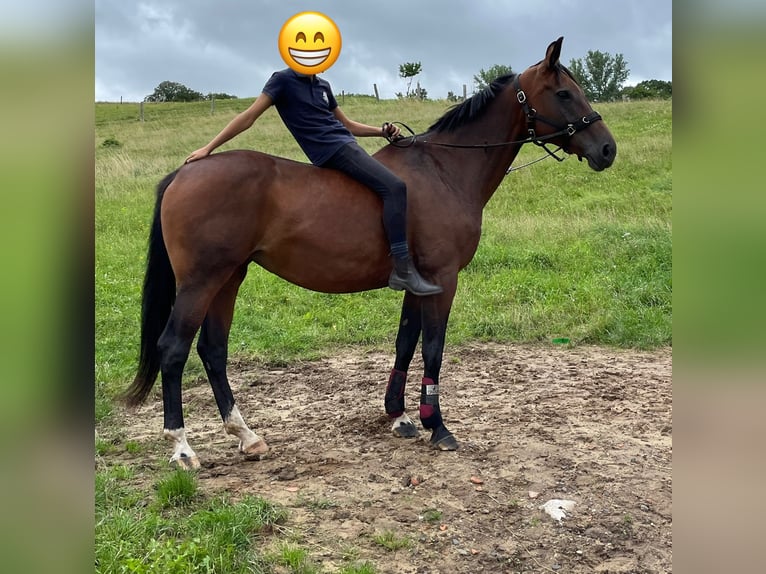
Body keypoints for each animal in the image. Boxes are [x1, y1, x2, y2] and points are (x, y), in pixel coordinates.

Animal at [124, 36, 616, 470]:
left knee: (213, 350)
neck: (444, 170)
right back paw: (182, 448)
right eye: (564, 93)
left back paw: (246, 436)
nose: (607, 149)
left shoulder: (420, 282)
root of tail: (187, 171)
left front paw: (399, 415)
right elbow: (433, 348)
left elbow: (405, 343)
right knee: (173, 349)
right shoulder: (444, 279)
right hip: (202, 281)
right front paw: (437, 425)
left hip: (229, 277)